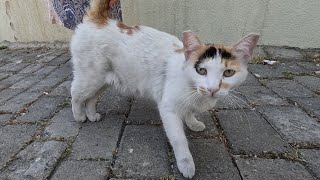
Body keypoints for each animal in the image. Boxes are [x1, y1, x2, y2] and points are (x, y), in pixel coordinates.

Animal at [70, 0, 260, 178]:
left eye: (228, 72)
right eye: (201, 70)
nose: (213, 88)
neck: (195, 91)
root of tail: (99, 19)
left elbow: (189, 112)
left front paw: (193, 123)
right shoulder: (168, 108)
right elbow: (179, 140)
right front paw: (186, 164)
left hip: (104, 81)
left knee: (91, 98)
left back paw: (91, 114)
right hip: (90, 78)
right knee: (75, 94)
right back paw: (79, 115)